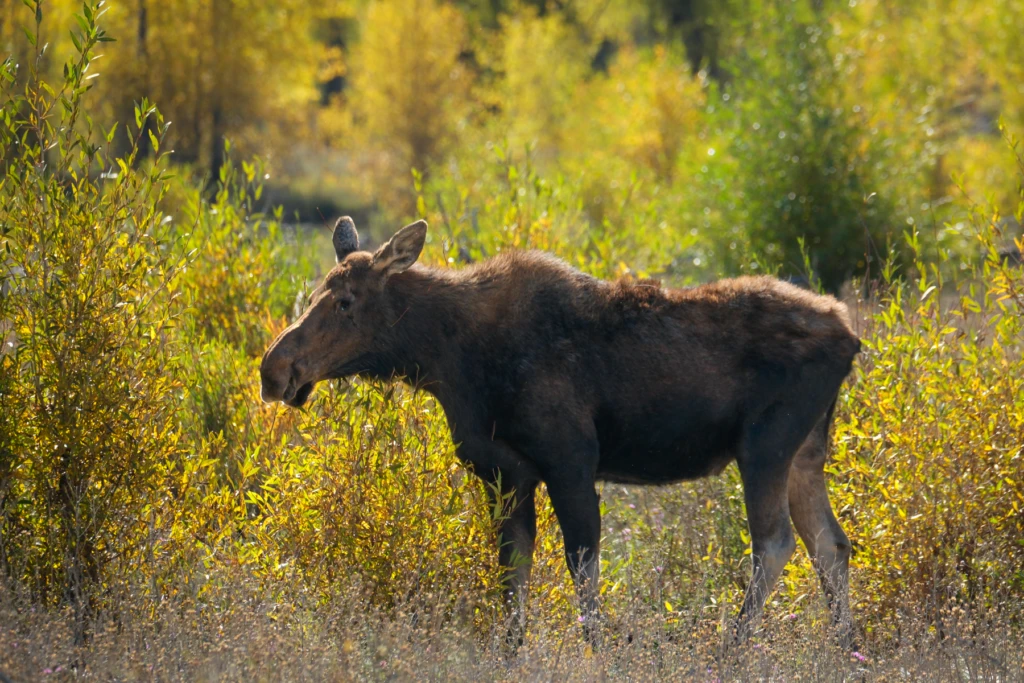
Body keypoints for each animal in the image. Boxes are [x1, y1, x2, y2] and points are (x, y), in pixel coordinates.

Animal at [260, 217, 860, 647]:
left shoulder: (570, 462)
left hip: (765, 445)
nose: (274, 369)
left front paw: (598, 654)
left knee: (776, 542)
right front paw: (511, 654)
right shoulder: (503, 473)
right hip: (805, 453)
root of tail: (852, 335)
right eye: (314, 292)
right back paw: (846, 649)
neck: (445, 361)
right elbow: (513, 577)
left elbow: (583, 572)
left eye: (345, 301)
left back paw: (731, 649)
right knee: (830, 543)